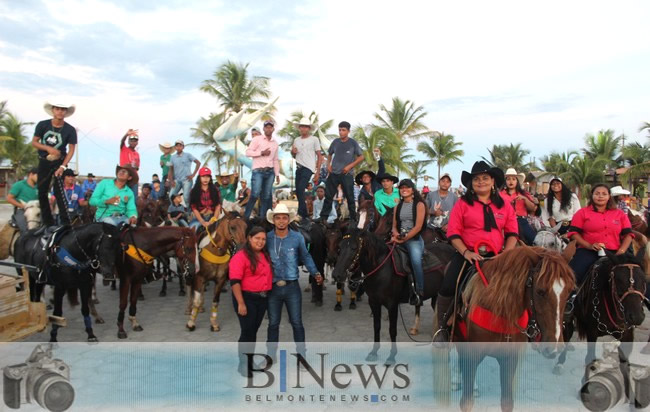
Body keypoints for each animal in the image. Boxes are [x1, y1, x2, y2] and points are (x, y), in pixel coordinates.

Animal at [332, 230, 454, 362]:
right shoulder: (374, 302)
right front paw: (374, 352)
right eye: (339, 247)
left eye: (354, 248)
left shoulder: (392, 305)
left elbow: (392, 330)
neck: (381, 269)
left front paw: (391, 356)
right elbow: (376, 326)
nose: (336, 275)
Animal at [548, 249, 644, 378]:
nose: (637, 316)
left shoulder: (627, 335)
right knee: (567, 335)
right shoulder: (592, 332)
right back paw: (560, 363)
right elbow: (590, 357)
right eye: (619, 280)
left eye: (643, 280)